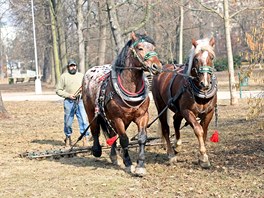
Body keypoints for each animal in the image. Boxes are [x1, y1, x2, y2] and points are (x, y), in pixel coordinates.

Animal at [82, 31, 162, 176]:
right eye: (140, 48)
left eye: (153, 48)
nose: (157, 67)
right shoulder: (117, 118)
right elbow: (124, 139)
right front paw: (129, 164)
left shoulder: (142, 116)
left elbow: (142, 138)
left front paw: (140, 166)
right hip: (91, 111)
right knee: (95, 129)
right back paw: (97, 150)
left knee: (112, 135)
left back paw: (114, 156)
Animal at [152, 37, 218, 169]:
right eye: (196, 59)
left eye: (211, 57)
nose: (204, 83)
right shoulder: (187, 111)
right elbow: (198, 129)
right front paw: (203, 157)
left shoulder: (209, 112)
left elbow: (204, 131)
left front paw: (201, 157)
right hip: (161, 105)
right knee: (166, 127)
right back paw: (171, 154)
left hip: (178, 110)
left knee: (176, 121)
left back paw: (177, 145)